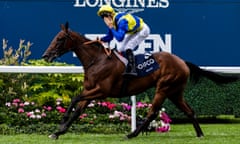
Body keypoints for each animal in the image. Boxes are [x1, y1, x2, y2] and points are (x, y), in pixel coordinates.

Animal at [41, 22, 238, 140]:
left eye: (60, 39)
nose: (45, 56)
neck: (97, 60)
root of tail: (182, 62)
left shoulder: (102, 90)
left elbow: (74, 100)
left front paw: (60, 124)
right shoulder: (90, 91)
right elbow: (77, 110)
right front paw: (58, 132)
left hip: (164, 88)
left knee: (152, 112)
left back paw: (132, 134)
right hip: (175, 91)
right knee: (189, 110)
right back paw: (200, 134)